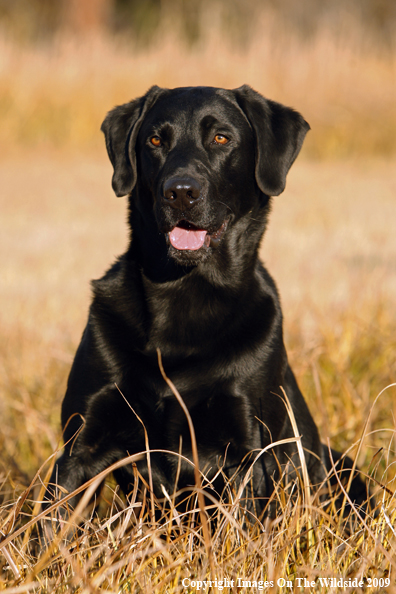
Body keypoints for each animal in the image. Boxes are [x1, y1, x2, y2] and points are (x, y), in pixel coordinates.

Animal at [43, 85, 368, 520]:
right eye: (155, 141)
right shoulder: (81, 445)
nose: (180, 192)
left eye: (221, 138)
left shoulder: (248, 453)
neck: (185, 294)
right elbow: (50, 527)